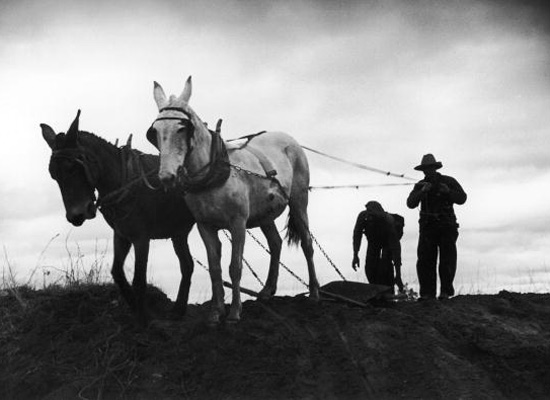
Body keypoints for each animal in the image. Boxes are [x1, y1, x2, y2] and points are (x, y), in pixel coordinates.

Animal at [41, 110, 196, 324]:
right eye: (53, 175)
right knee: (187, 265)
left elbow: (139, 279)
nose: (76, 216)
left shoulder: (141, 238)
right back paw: (178, 310)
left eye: (73, 167)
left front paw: (144, 318)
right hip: (178, 233)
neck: (123, 179)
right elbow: (117, 272)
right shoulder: (122, 235)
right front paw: (134, 306)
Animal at [149, 76, 322, 324]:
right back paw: (267, 290)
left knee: (307, 243)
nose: (167, 176)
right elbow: (215, 268)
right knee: (275, 243)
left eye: (182, 128)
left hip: (299, 201)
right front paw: (215, 312)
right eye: (155, 131)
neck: (211, 174)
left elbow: (235, 267)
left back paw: (315, 292)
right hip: (264, 214)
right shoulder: (205, 226)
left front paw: (234, 312)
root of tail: (289, 139)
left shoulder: (238, 223)